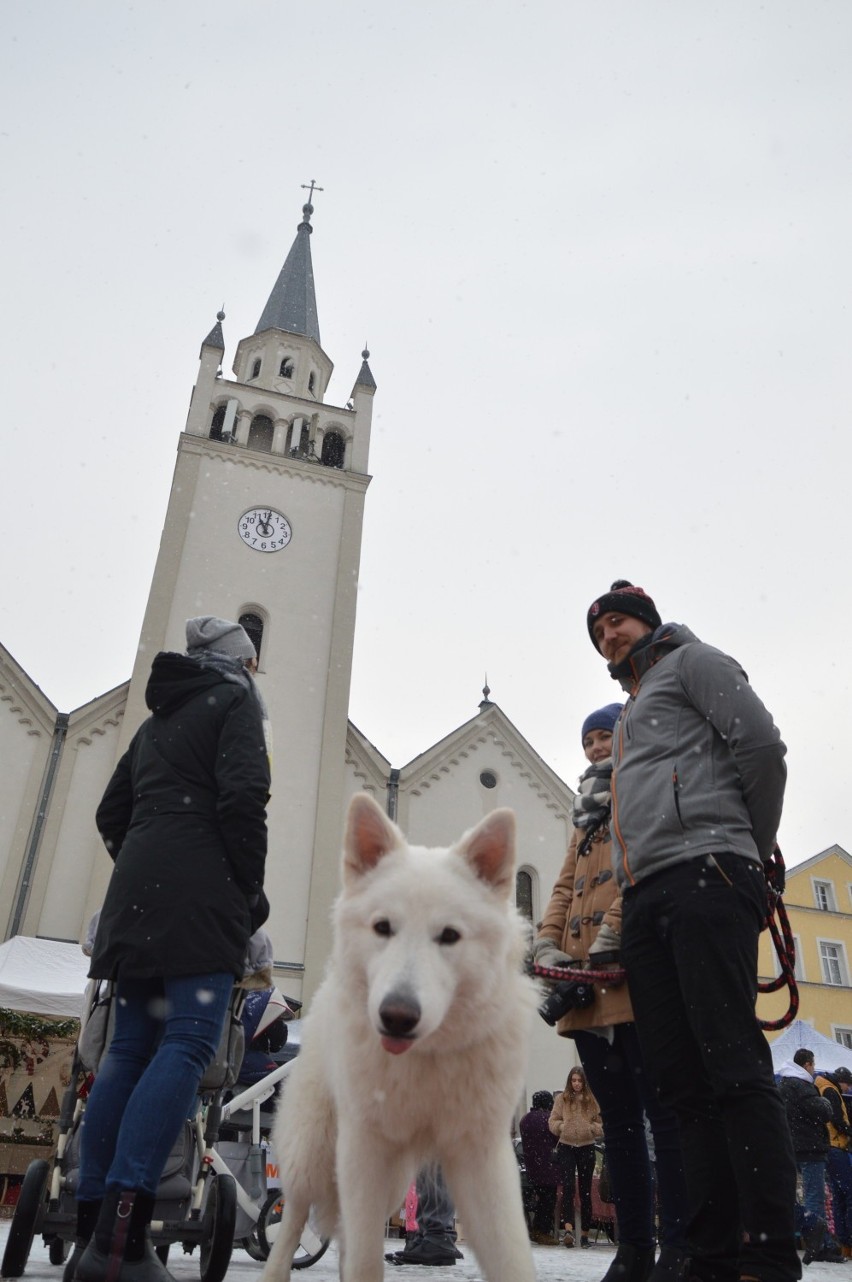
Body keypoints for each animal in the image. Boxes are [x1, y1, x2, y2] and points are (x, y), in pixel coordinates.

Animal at [261, 789, 538, 1282]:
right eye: (383, 927)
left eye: (449, 936)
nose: (397, 1016)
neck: (425, 1057)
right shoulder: (364, 1149)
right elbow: (364, 1258)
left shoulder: (482, 1157)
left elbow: (511, 1257)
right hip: (314, 1151)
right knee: (291, 1218)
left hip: (391, 1182)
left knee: (344, 1237)